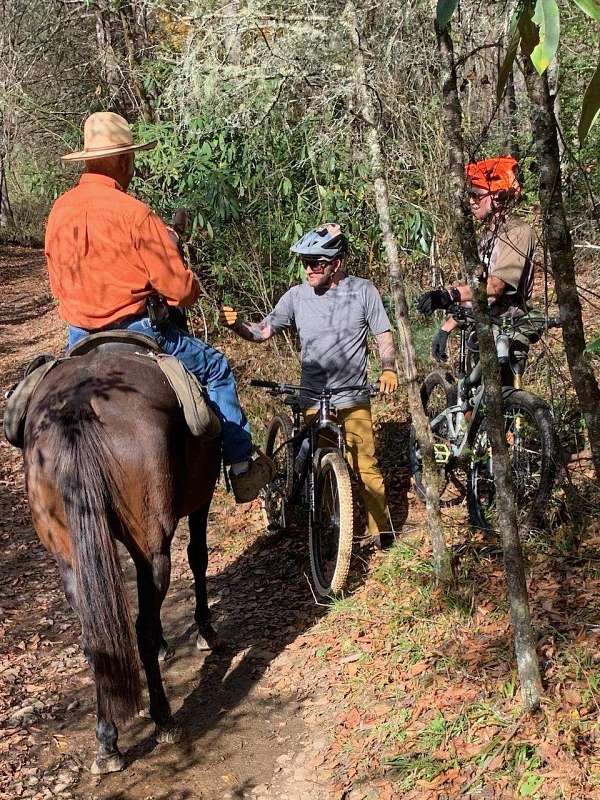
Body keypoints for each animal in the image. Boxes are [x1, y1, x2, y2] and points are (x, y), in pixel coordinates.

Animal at [22, 350, 223, 776]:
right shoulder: (201, 500)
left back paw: (107, 743)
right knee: (143, 628)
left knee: (96, 641)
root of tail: (79, 408)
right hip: (152, 546)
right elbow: (198, 557)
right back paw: (163, 718)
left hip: (69, 556)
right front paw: (205, 630)